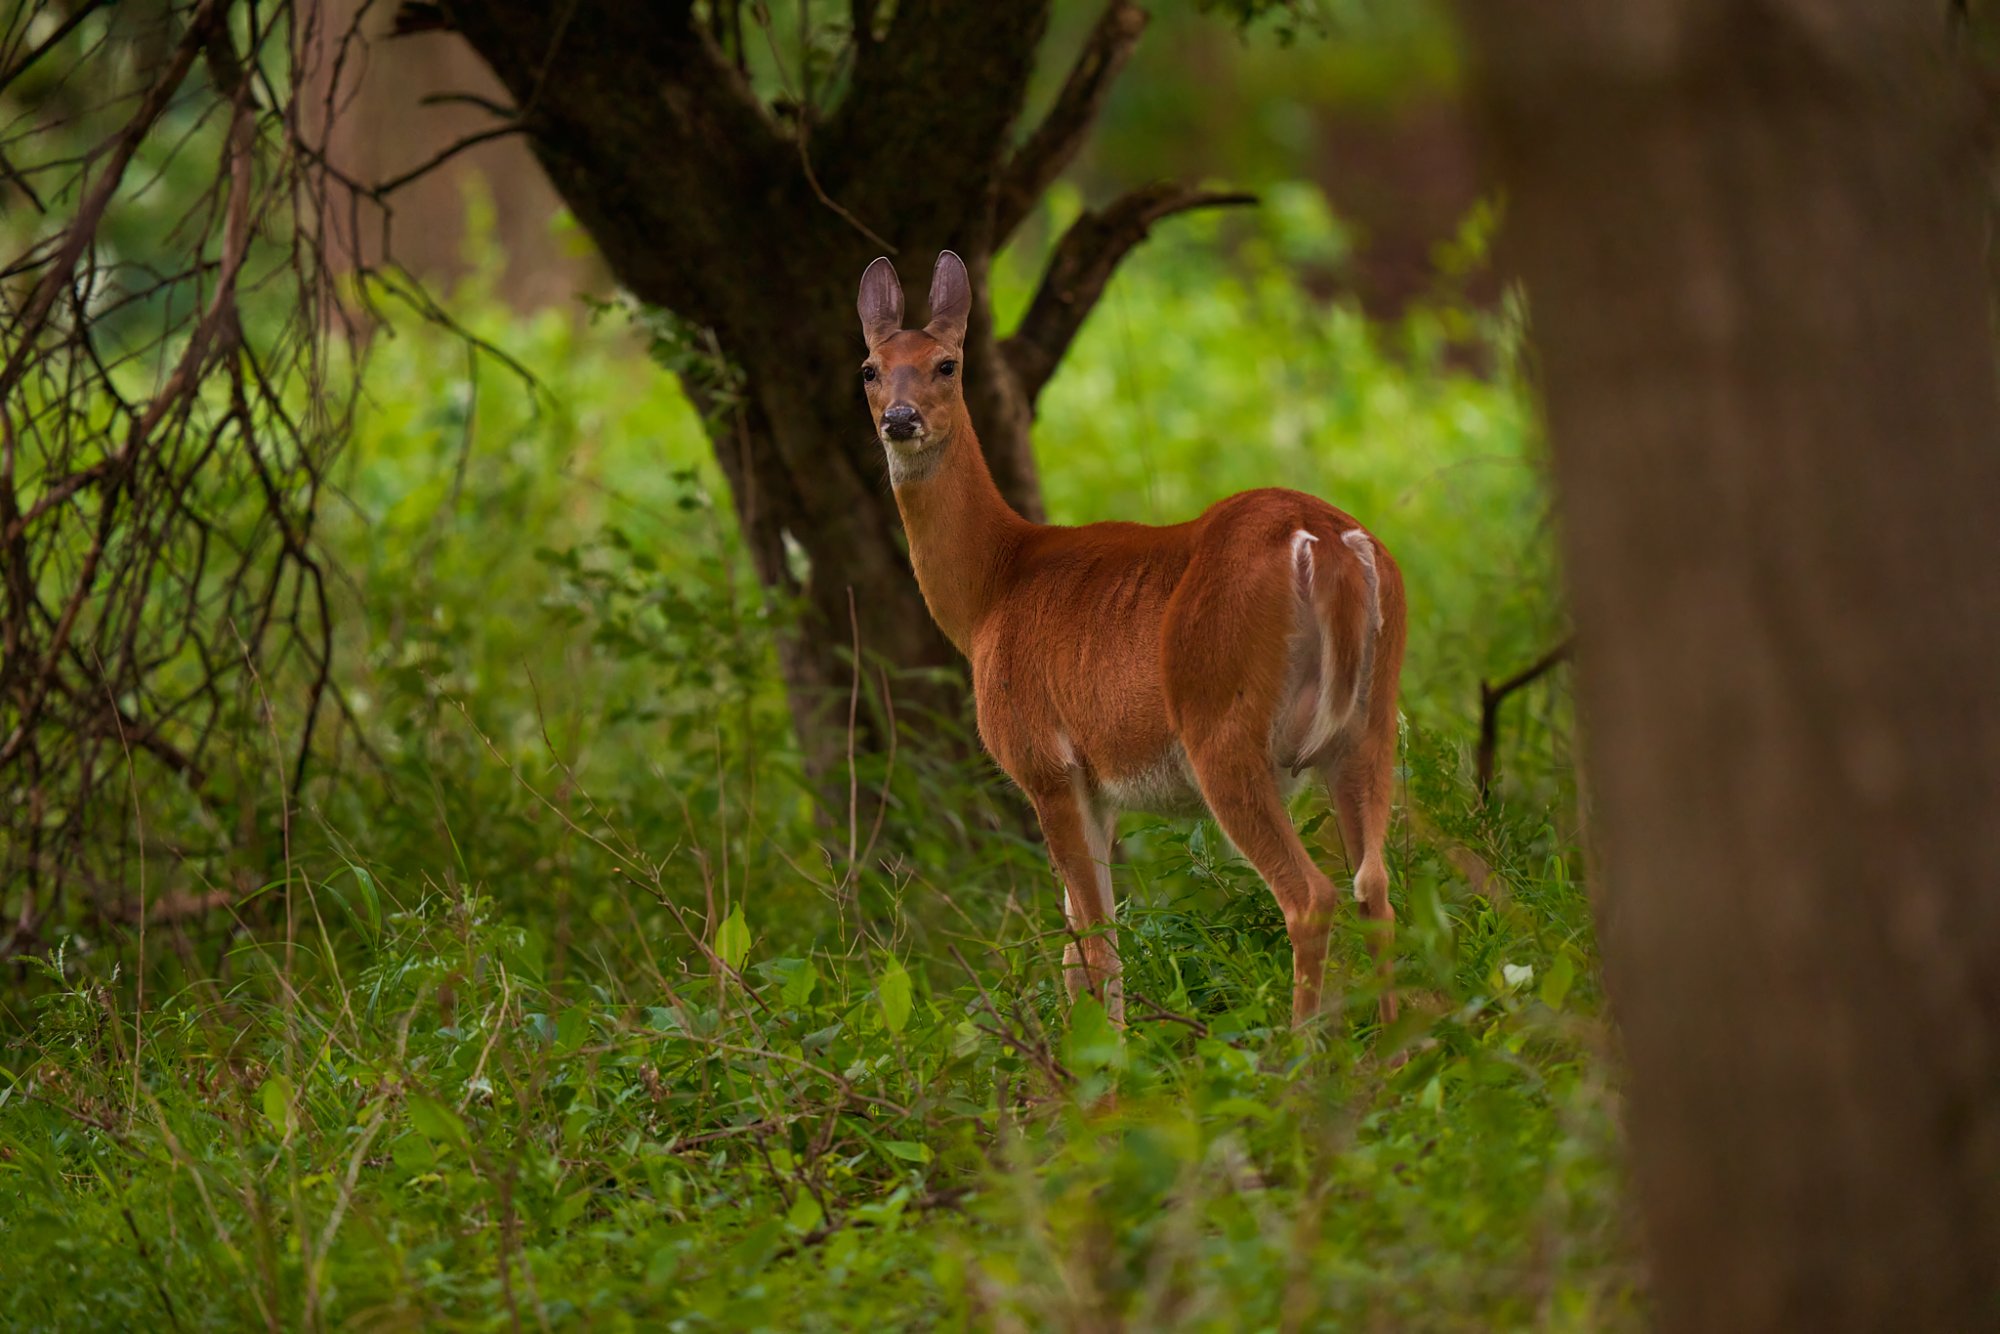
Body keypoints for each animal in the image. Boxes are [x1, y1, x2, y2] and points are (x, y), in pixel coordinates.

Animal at [860, 250, 1408, 1032]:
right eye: (870, 368)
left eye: (947, 363)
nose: (900, 420)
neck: (992, 589)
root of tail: (1327, 543)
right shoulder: (1101, 787)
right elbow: (1077, 947)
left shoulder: (1043, 760)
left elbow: (1094, 942)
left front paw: (1104, 1062)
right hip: (1371, 720)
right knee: (1377, 888)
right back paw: (1399, 1047)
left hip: (1222, 723)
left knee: (1312, 896)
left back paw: (1299, 1056)